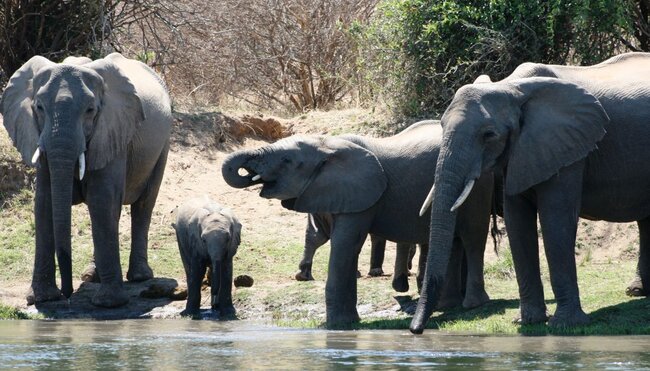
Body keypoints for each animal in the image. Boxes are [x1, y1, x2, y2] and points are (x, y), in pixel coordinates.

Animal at [0, 52, 172, 308]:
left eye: (90, 110)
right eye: (39, 107)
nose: (67, 294)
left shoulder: (112, 131)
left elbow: (102, 200)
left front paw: (109, 303)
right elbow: (45, 202)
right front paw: (43, 299)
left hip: (163, 143)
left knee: (143, 205)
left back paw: (139, 276)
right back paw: (92, 276)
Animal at [221, 120, 492, 326]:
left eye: (287, 160)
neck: (326, 145)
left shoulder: (361, 194)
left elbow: (344, 244)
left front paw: (338, 325)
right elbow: (332, 240)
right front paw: (349, 322)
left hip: (477, 185)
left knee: (472, 235)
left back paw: (470, 304)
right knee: (454, 240)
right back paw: (448, 306)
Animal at [412, 52, 650, 334]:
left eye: (489, 135)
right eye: (441, 125)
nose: (415, 330)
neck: (511, 87)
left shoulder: (568, 148)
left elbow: (555, 220)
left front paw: (565, 325)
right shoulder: (523, 150)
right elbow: (517, 222)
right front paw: (528, 321)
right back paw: (637, 291)